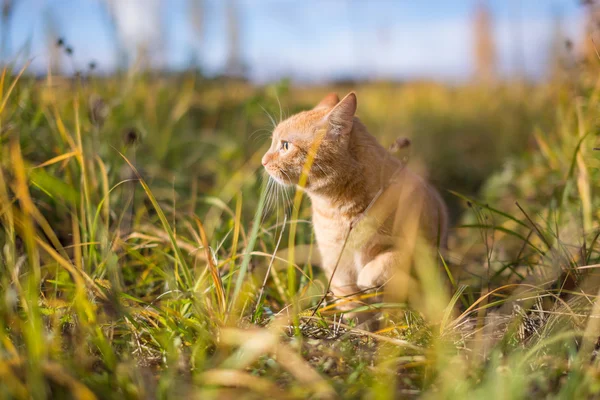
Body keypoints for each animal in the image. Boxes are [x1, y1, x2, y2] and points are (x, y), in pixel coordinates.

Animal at [260, 91, 448, 322]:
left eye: (285, 145)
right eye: (273, 143)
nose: (263, 161)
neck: (339, 209)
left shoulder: (423, 250)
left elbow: (385, 261)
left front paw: (368, 279)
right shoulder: (336, 265)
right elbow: (352, 305)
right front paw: (357, 325)